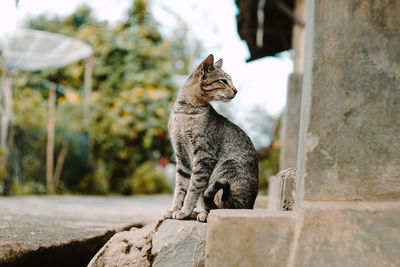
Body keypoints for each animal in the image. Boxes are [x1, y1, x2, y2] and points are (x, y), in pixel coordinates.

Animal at [164, 54, 258, 222]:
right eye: (224, 81)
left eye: (229, 81)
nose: (236, 90)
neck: (185, 110)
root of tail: (250, 207)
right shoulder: (181, 157)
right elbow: (180, 188)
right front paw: (174, 209)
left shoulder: (204, 156)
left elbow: (192, 188)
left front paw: (184, 211)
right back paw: (197, 213)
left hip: (225, 169)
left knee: (222, 208)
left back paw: (202, 214)